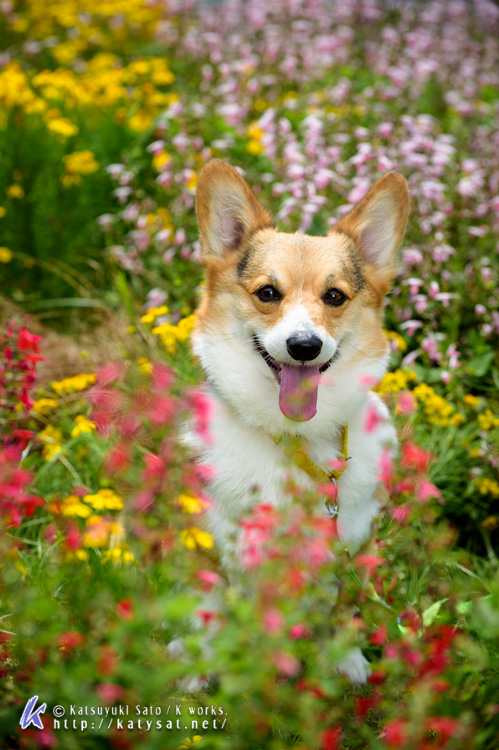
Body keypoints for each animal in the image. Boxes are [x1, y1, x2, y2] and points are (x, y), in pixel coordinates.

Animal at [188, 159, 410, 688]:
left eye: (335, 296)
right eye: (267, 293)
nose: (305, 346)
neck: (295, 436)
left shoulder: (353, 545)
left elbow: (341, 614)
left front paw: (345, 662)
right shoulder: (222, 552)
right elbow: (218, 617)